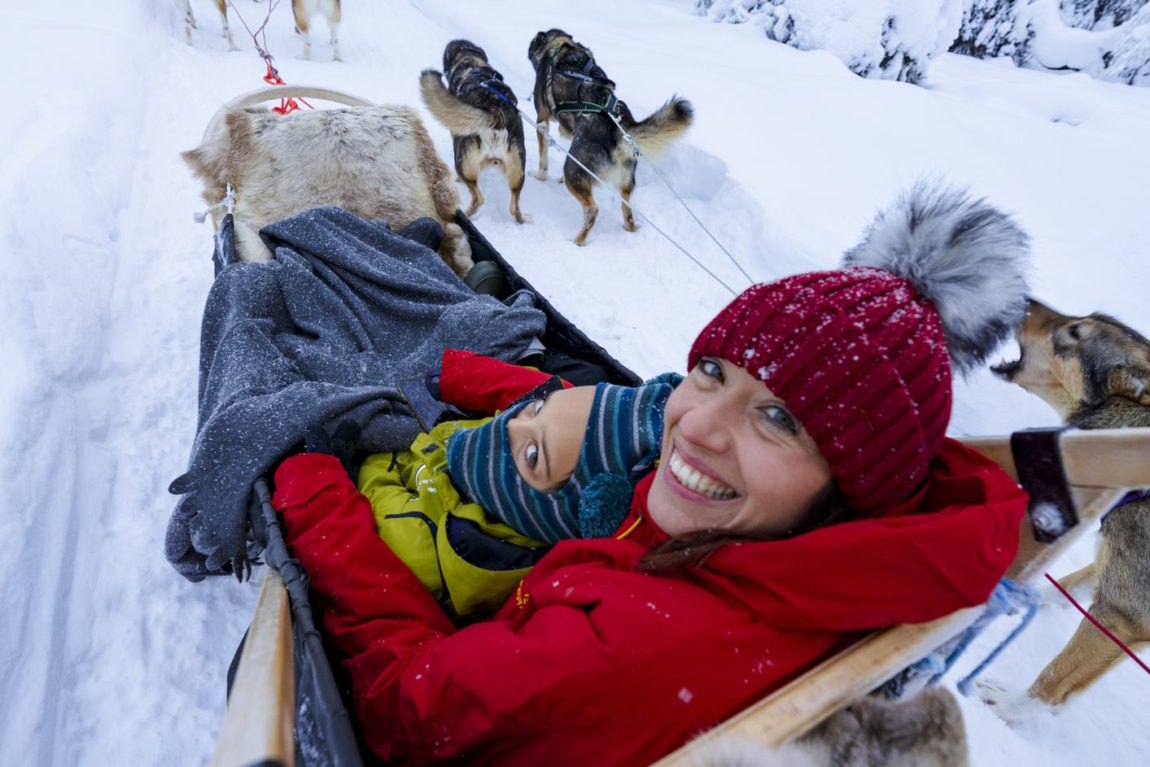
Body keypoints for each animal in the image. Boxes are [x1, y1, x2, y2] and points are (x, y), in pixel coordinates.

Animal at [423, 40, 529, 223]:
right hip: (517, 171)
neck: (472, 63)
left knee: (478, 199)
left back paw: (463, 214)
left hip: (463, 164)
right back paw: (521, 219)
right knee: (514, 206)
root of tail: (496, 112)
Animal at [526, 29, 690, 246]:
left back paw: (578, 240)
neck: (559, 46)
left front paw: (539, 176)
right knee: (626, 210)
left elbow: (543, 159)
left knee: (592, 210)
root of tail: (619, 126)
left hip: (574, 169)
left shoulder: (541, 120)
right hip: (625, 184)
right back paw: (629, 227)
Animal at [989, 296, 1150, 703]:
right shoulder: (1109, 572)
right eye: (1083, 318)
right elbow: (1061, 587)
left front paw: (1008, 709)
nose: (1024, 297)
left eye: (1075, 332)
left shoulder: (1124, 616)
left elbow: (1049, 685)